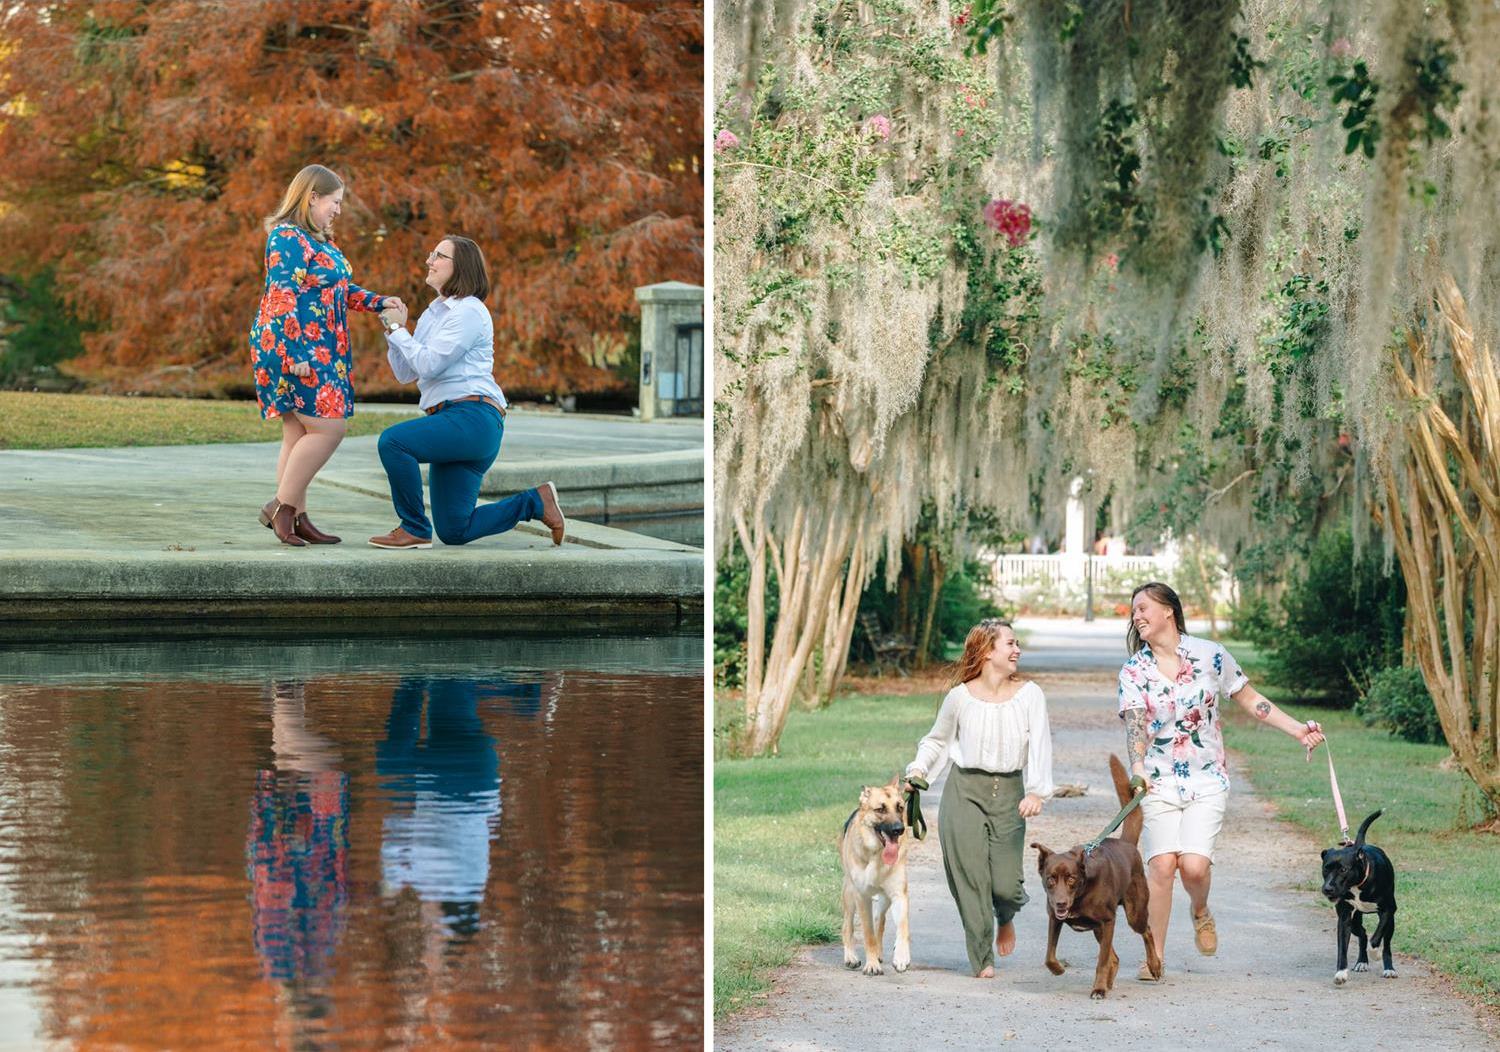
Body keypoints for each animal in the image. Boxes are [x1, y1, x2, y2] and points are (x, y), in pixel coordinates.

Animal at [840, 774, 906, 978]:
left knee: (880, 922)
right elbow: (868, 934)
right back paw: (851, 957)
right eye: (880, 809)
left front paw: (901, 957)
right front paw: (871, 965)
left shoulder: (899, 895)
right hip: (850, 894)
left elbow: (903, 927)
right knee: (848, 926)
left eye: (900, 807)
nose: (899, 829)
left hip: (885, 900)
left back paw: (878, 952)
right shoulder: (862, 897)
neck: (878, 855)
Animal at [1032, 756, 1158, 990]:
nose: (1061, 903)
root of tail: (1126, 843)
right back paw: (1109, 982)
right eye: (1050, 879)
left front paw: (1098, 989)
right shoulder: (1055, 918)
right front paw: (1058, 969)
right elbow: (1049, 956)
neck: (1082, 892)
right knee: (1114, 958)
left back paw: (1154, 966)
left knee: (1146, 931)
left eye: (1071, 879)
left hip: (1133, 913)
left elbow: (1102, 961)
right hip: (1099, 928)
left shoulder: (1108, 922)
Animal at [1326, 804, 1392, 984]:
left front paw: (1375, 952)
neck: (1357, 885)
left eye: (1343, 869)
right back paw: (1362, 962)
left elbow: (1376, 937)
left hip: (1391, 921)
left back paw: (1389, 968)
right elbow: (1342, 947)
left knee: (1386, 943)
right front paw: (1341, 972)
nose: (1327, 889)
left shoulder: (1388, 910)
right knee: (1362, 934)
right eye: (1325, 869)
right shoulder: (1344, 918)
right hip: (1355, 920)